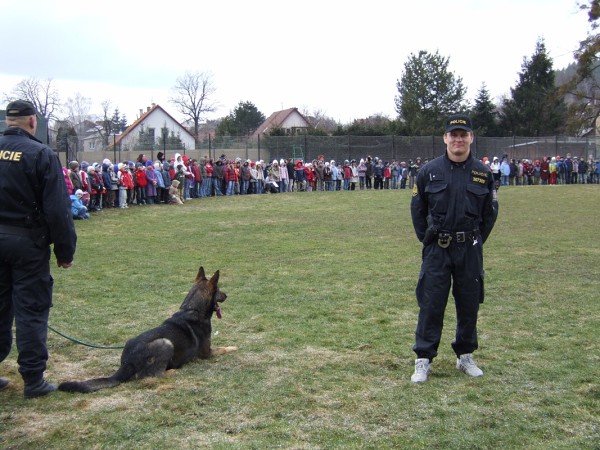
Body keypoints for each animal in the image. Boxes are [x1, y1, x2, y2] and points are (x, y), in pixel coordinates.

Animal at [58, 268, 237, 394]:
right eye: (219, 290)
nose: (227, 295)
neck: (192, 309)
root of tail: (127, 361)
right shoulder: (207, 353)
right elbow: (224, 348)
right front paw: (234, 347)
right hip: (166, 343)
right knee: (150, 375)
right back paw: (173, 371)